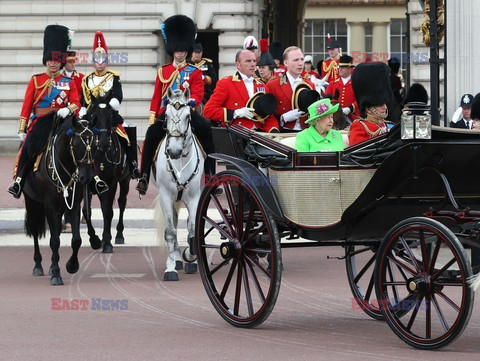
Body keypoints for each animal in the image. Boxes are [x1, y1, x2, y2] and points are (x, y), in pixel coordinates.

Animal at [23, 111, 101, 286]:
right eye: (77, 145)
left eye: (94, 146)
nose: (85, 177)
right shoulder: (50, 205)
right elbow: (54, 241)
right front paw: (56, 274)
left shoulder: (74, 204)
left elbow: (76, 239)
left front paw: (71, 265)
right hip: (32, 202)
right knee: (36, 232)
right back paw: (38, 265)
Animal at [83, 95, 130, 253]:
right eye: (93, 115)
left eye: (110, 115)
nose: (103, 142)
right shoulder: (85, 183)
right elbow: (86, 211)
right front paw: (95, 239)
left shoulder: (111, 182)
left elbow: (108, 211)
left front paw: (107, 242)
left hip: (125, 180)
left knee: (121, 203)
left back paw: (118, 235)